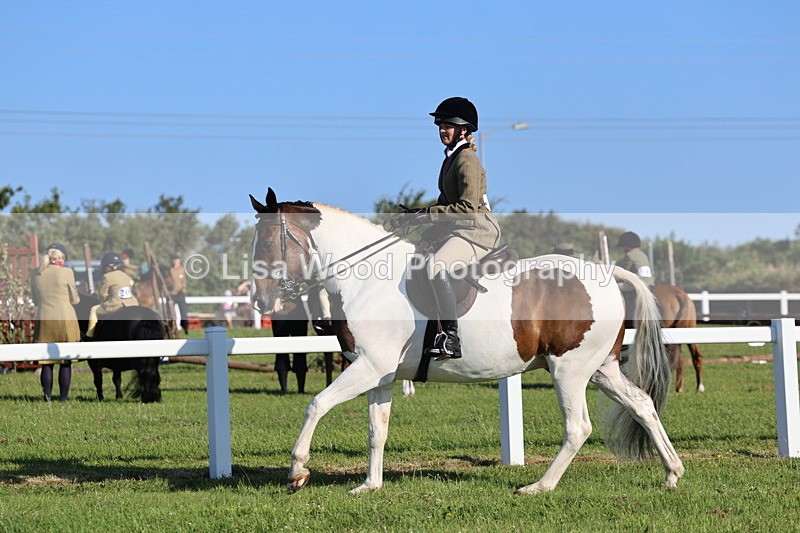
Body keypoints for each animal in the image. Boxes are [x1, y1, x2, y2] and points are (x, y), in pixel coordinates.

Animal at [249, 188, 683, 495]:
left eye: (268, 243)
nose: (261, 302)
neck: (365, 278)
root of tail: (607, 274)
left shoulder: (369, 368)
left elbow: (316, 405)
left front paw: (297, 471)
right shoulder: (380, 375)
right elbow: (377, 431)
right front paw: (369, 485)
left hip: (569, 371)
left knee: (578, 427)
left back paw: (539, 486)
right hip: (601, 370)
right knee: (643, 404)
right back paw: (672, 473)